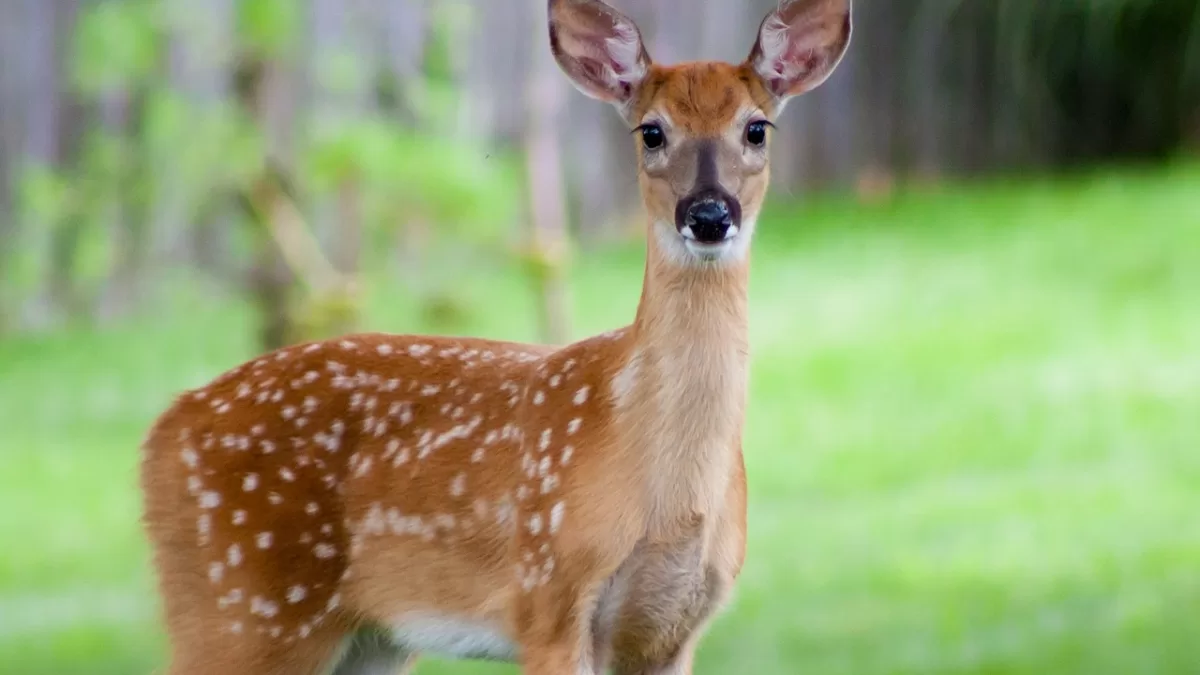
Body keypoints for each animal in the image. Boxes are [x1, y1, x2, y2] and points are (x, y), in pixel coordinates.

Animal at [139, 1, 852, 673]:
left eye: (756, 128)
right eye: (652, 132)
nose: (707, 215)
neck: (668, 492)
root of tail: (161, 434)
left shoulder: (675, 629)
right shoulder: (548, 598)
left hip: (368, 637)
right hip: (240, 602)